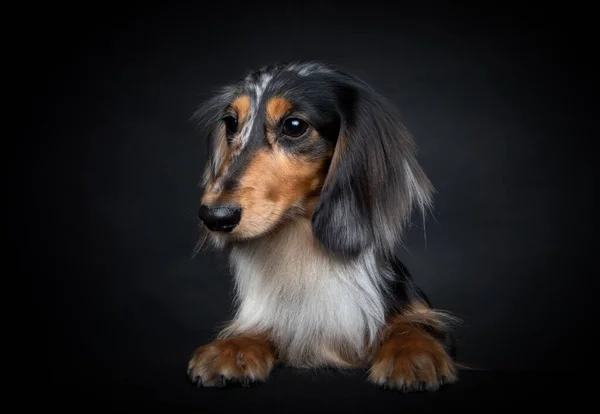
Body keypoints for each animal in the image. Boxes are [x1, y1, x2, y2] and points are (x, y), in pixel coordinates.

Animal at [188, 60, 460, 392]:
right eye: (230, 123)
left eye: (294, 126)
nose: (214, 216)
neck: (305, 249)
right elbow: (268, 328)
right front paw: (233, 347)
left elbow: (413, 324)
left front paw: (414, 354)